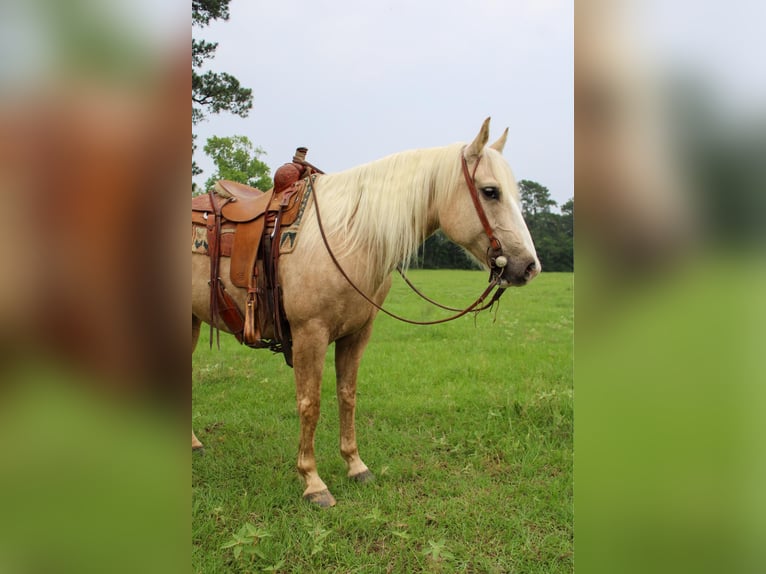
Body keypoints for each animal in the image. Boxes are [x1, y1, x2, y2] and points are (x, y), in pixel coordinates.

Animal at [192, 118, 540, 507]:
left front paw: (355, 466)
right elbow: (310, 403)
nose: (529, 267)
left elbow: (348, 395)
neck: (349, 238)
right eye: (491, 191)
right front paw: (313, 482)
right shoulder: (309, 334)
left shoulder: (357, 334)